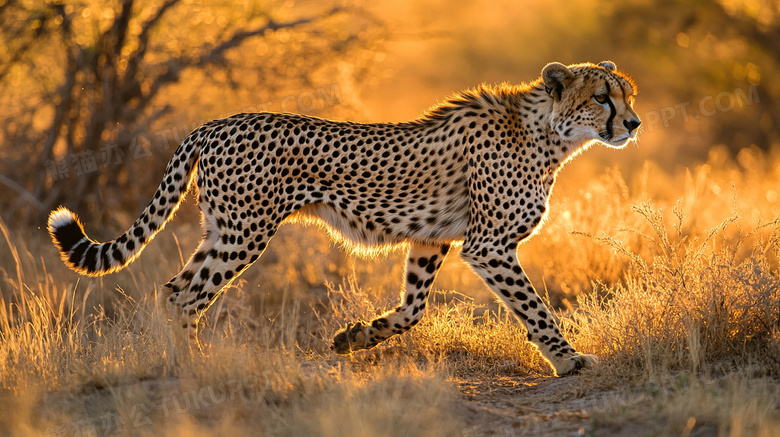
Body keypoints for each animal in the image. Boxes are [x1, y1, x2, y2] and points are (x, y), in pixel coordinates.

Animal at [47, 60, 640, 374]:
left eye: (627, 94)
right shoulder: (488, 246)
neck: (550, 135)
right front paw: (569, 360)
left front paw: (357, 337)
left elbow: (412, 310)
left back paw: (180, 358)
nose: (633, 123)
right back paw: (194, 365)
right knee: (187, 295)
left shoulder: (431, 241)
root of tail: (215, 123)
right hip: (245, 233)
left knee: (174, 289)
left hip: (221, 229)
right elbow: (536, 308)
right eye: (602, 97)